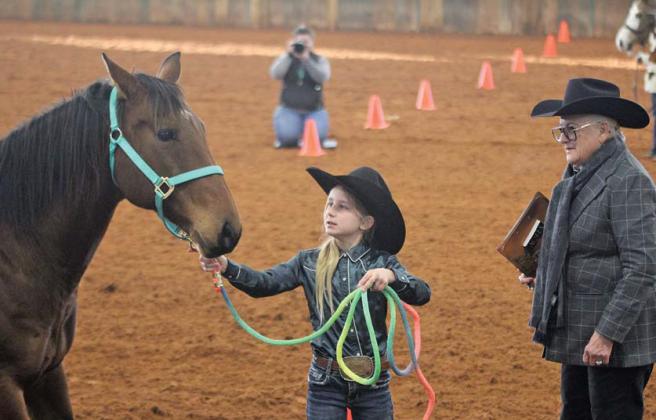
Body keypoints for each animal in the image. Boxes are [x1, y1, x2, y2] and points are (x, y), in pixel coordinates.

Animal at [0, 52, 241, 419]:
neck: (17, 258)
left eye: (201, 127)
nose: (229, 229)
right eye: (166, 133)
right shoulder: (7, 386)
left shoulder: (49, 372)